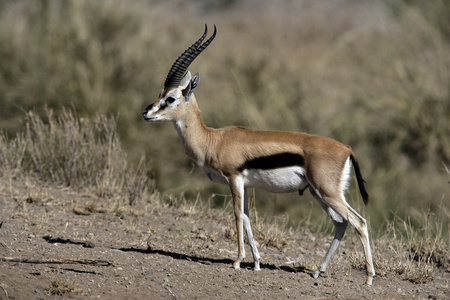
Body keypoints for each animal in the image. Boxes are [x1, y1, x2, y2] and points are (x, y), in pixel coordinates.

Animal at [143, 24, 376, 284]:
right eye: (160, 93)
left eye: (170, 98)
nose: (146, 113)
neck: (212, 139)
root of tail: (347, 149)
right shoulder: (245, 185)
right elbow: (247, 217)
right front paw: (255, 263)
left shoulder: (234, 179)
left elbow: (237, 215)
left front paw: (236, 261)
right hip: (318, 193)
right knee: (341, 223)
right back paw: (318, 270)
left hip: (328, 192)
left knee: (359, 222)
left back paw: (368, 277)